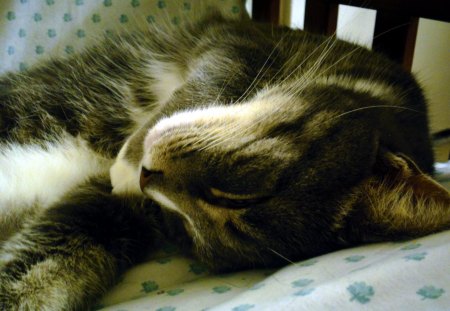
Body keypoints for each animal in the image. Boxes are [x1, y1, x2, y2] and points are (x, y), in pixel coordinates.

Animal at [0, 11, 450, 310]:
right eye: (241, 192)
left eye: (181, 227)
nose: (145, 175)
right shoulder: (240, 40)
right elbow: (217, 73)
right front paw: (129, 159)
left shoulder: (108, 213)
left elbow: (49, 266)